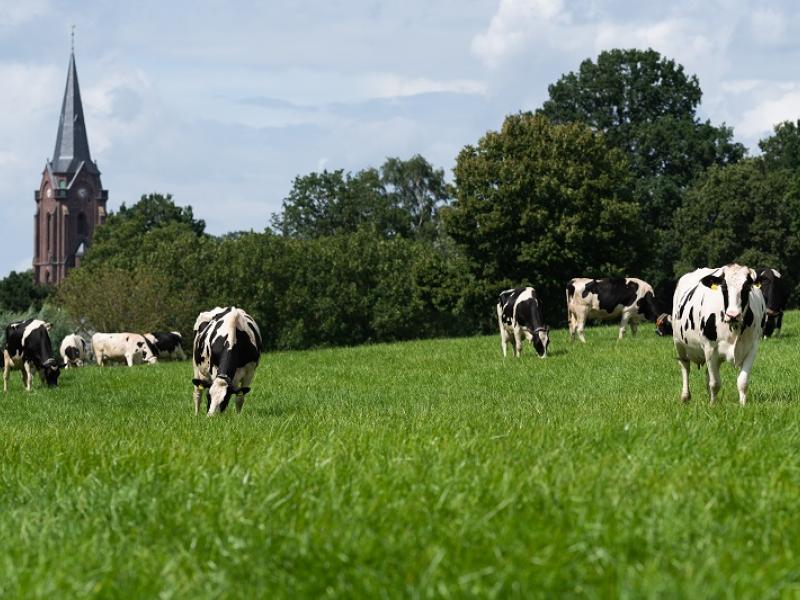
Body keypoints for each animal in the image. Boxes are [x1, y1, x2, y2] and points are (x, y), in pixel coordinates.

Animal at [672, 264, 764, 406]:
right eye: (724, 287)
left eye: (747, 287)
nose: (733, 315)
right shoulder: (710, 348)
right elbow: (715, 383)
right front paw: (712, 405)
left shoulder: (752, 348)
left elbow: (742, 382)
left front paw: (743, 404)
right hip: (678, 342)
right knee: (685, 367)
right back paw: (685, 396)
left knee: (707, 374)